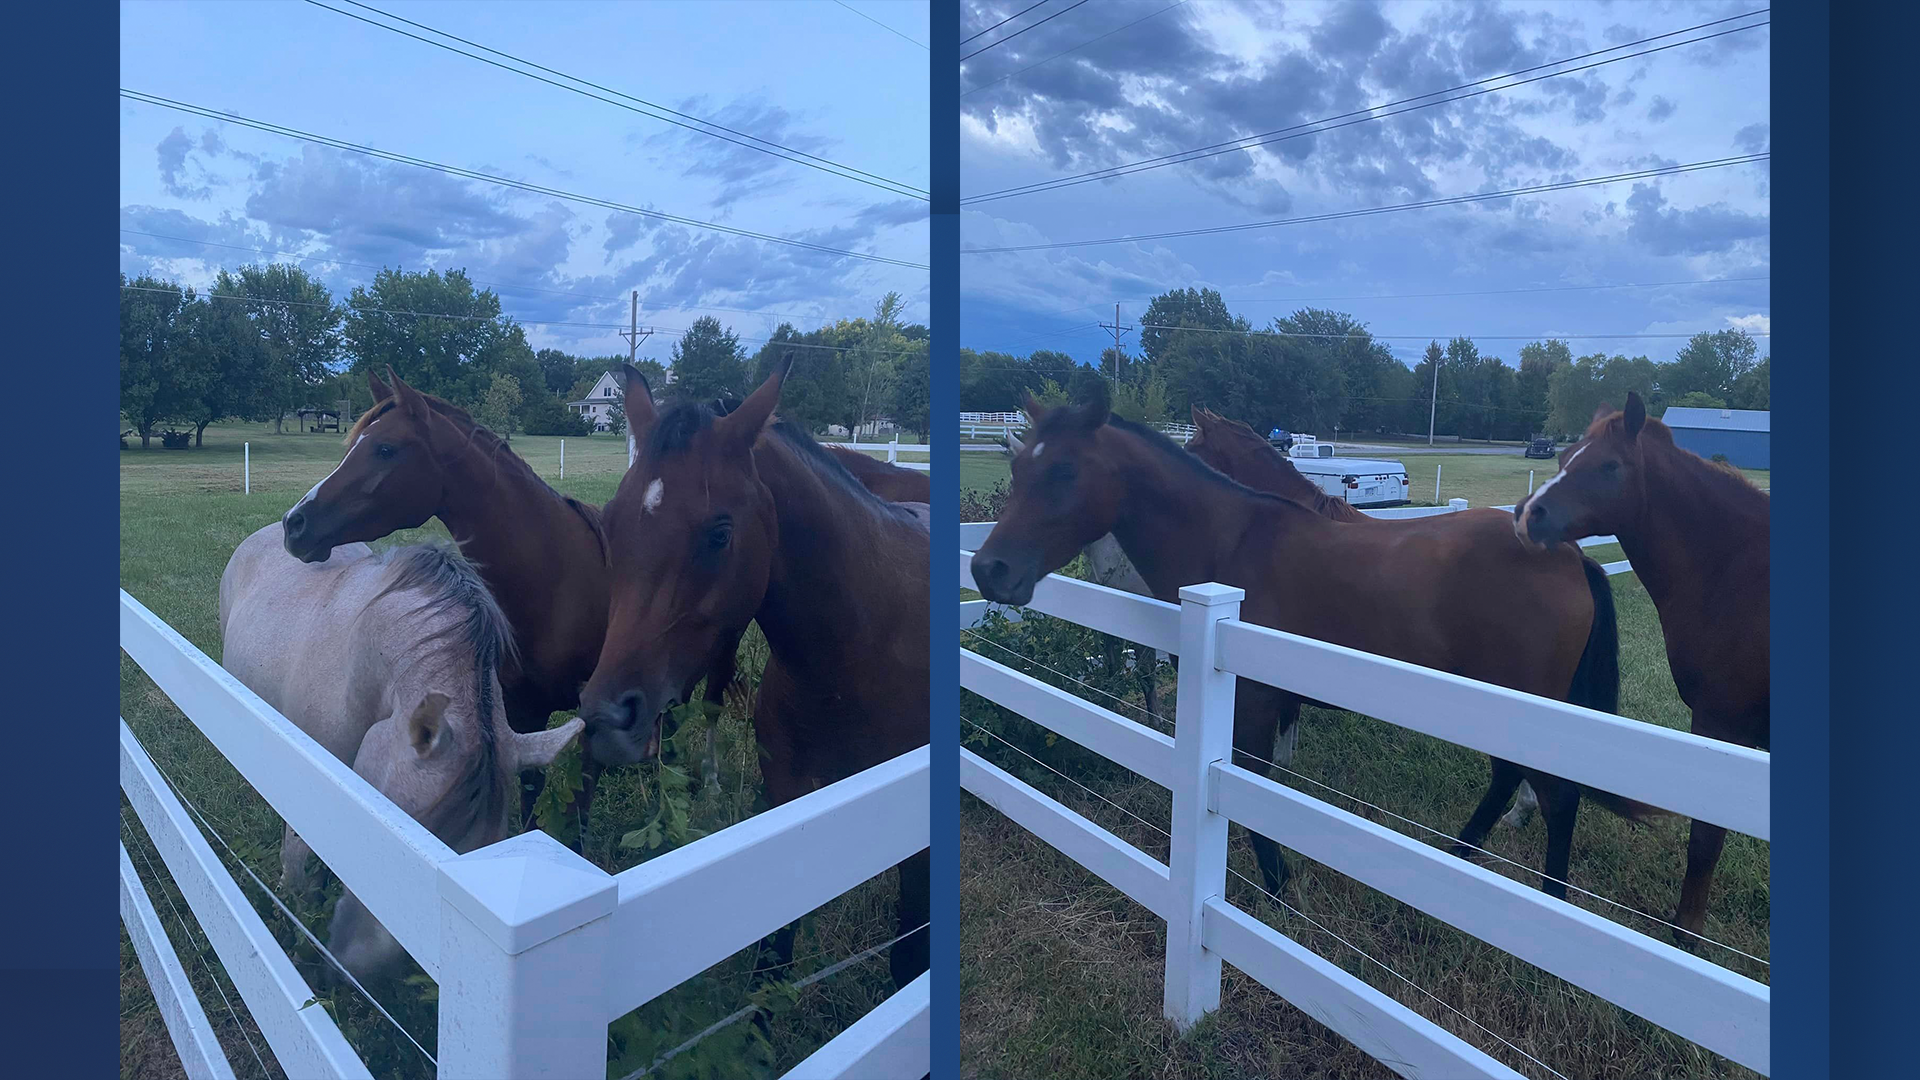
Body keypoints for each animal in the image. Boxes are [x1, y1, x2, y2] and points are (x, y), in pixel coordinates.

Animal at [579, 356, 931, 991]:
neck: (861, 651)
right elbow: (773, 957)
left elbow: (911, 953)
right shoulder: (787, 798)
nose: (607, 718)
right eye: (612, 525)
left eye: (719, 533)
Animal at [970, 386, 1648, 905]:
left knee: (1554, 796)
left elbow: (1252, 781)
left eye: (1064, 471)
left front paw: (1277, 885)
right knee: (1515, 781)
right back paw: (1455, 861)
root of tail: (1570, 557)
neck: (1234, 543)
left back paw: (1547, 900)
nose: (989, 569)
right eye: (1019, 471)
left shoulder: (1254, 700)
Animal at [1514, 392, 1769, 944]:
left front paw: (1687, 933)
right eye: (1563, 457)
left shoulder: (1720, 724)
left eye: (1610, 465)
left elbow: (1706, 838)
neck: (1738, 573)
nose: (1525, 514)